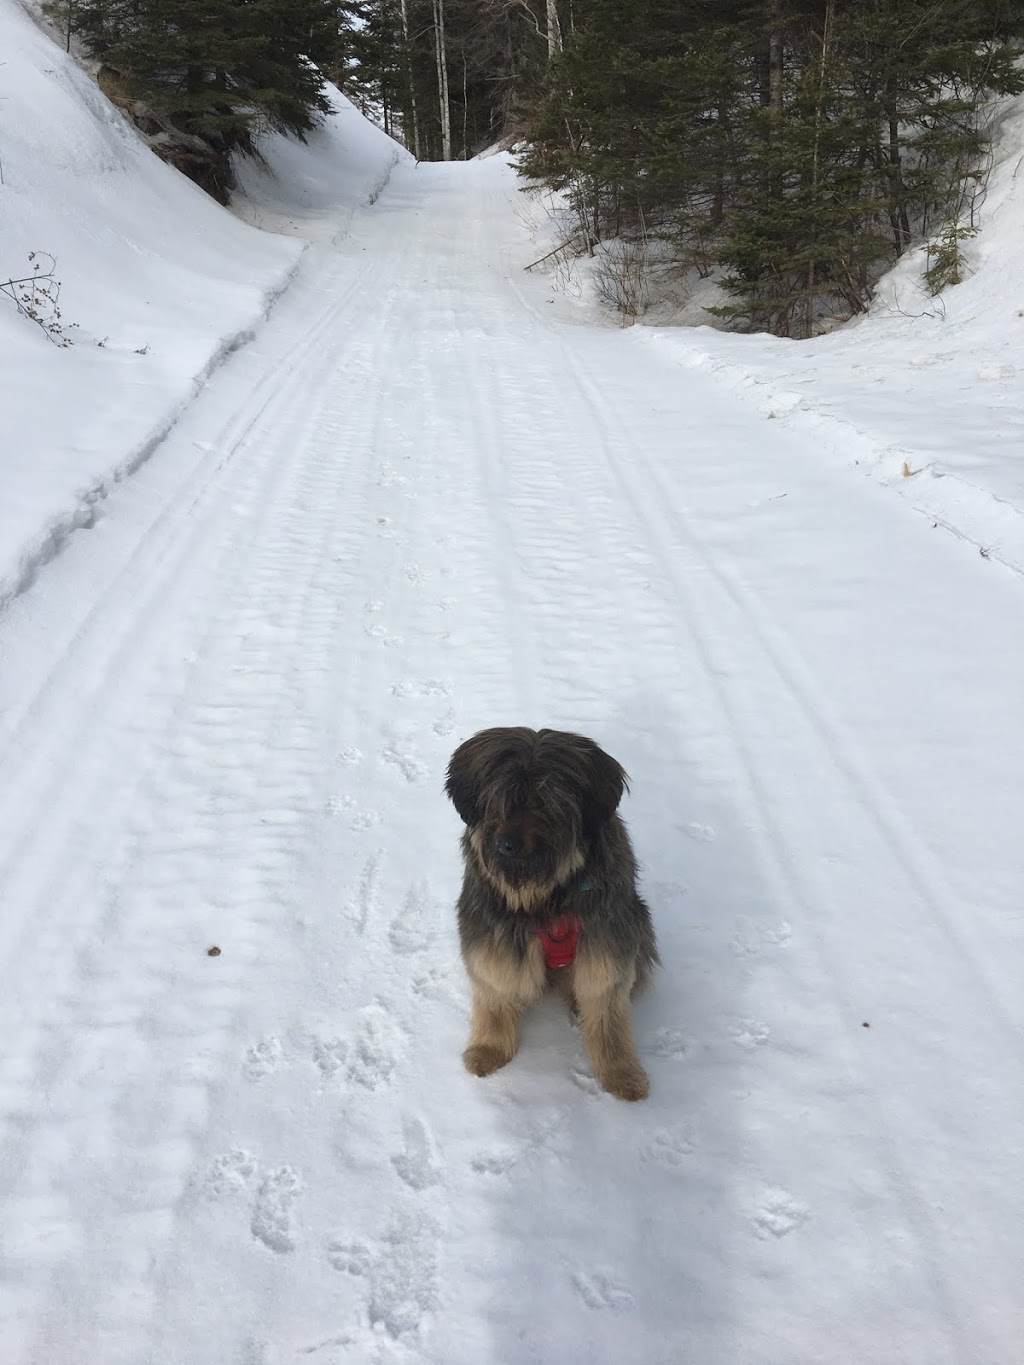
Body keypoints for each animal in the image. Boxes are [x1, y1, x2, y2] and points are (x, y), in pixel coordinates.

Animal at [447, 726, 658, 1097]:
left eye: (545, 803)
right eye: (498, 801)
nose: (507, 845)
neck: (545, 897)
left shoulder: (606, 939)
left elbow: (607, 1008)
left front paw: (620, 1073)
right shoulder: (493, 933)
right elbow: (494, 989)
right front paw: (489, 1049)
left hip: (639, 919)